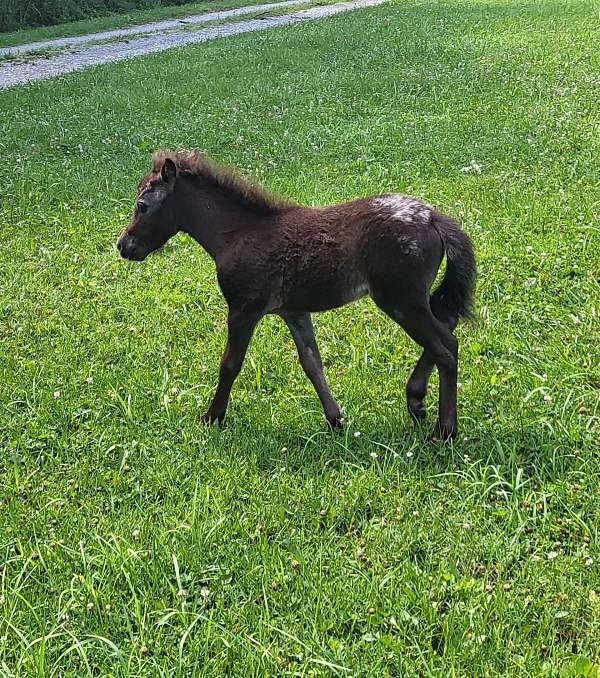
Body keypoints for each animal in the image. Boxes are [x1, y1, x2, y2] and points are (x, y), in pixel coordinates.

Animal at [117, 150, 476, 438]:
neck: (237, 234)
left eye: (142, 205)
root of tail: (433, 217)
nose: (123, 246)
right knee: (448, 324)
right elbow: (312, 363)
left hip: (401, 301)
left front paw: (212, 417)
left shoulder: (244, 309)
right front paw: (336, 420)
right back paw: (415, 399)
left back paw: (444, 430)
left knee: (446, 347)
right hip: (414, 300)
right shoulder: (294, 311)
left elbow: (230, 363)